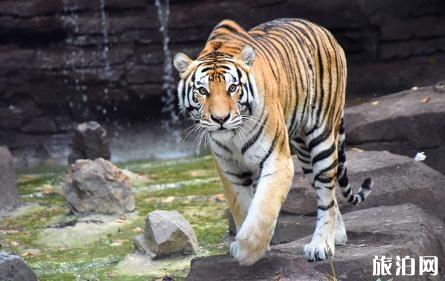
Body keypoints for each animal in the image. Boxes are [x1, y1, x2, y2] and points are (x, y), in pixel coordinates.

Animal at [173, 18, 372, 264]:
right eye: (202, 91)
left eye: (232, 88)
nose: (220, 119)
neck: (233, 137)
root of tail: (322, 29)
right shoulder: (229, 169)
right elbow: (243, 206)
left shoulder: (277, 161)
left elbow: (264, 206)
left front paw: (248, 250)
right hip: (304, 152)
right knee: (329, 194)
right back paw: (338, 235)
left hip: (322, 138)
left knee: (326, 194)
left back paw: (322, 245)